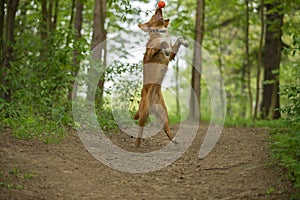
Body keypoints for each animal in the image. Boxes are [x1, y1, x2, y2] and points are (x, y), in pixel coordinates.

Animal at [134, 7, 188, 147]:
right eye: (153, 15)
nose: (158, 6)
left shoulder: (171, 56)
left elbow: (178, 39)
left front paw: (184, 42)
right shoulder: (150, 53)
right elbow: (159, 44)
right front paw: (163, 45)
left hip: (164, 113)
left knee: (166, 128)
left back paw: (174, 140)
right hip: (144, 112)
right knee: (140, 126)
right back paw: (137, 143)